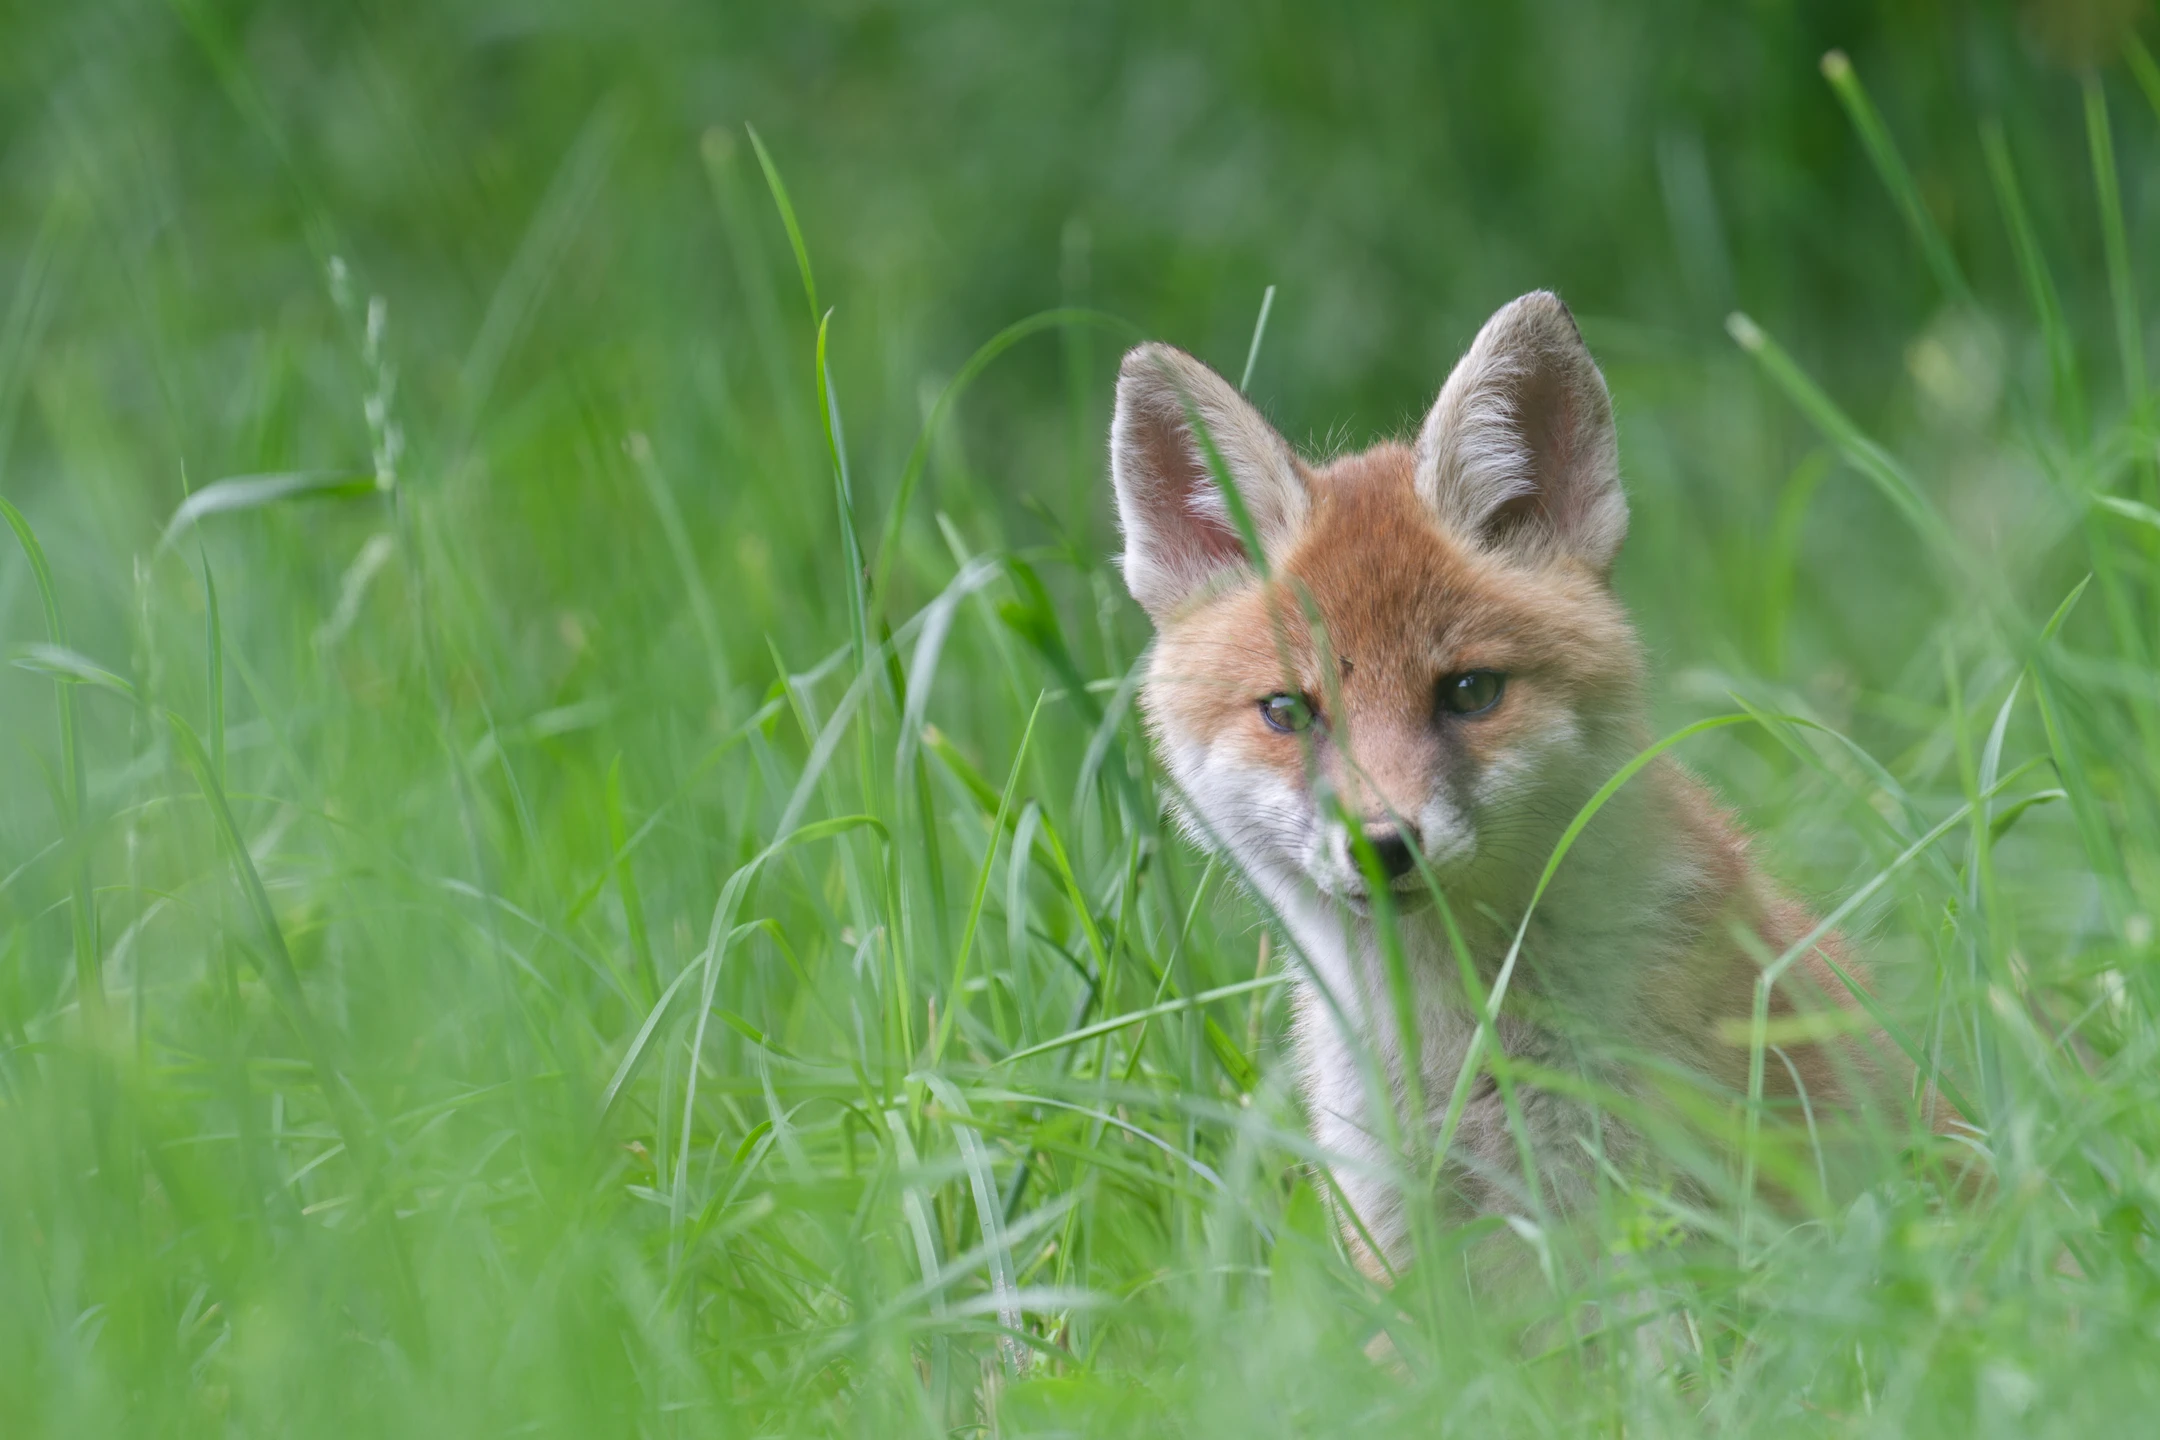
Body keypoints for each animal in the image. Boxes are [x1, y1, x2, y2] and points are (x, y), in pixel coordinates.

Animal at [1109, 291, 1942, 1278]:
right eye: (1288, 712)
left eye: (1470, 692)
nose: (1383, 845)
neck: (1456, 1051)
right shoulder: (1399, 1234)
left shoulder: (1644, 1212)